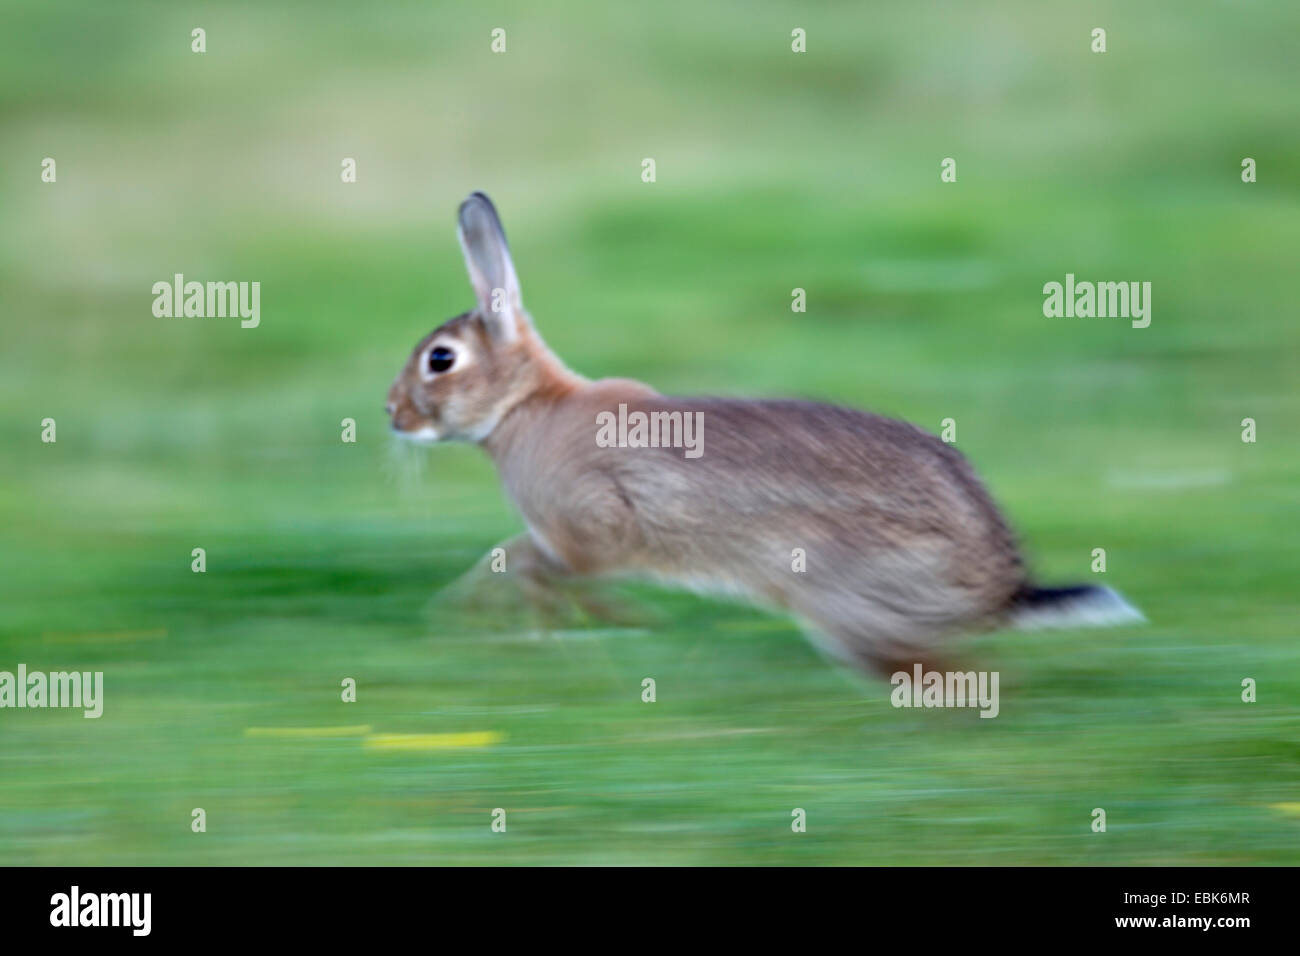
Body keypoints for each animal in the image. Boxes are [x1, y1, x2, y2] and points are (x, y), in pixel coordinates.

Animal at [384, 191, 1138, 676]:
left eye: (440, 360)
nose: (392, 412)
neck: (524, 407)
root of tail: (999, 593)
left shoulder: (592, 525)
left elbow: (528, 560)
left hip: (838, 595)